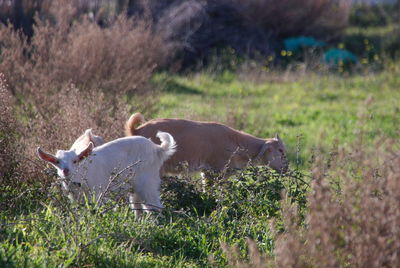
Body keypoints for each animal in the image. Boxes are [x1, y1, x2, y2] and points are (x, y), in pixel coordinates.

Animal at [37, 131, 175, 215]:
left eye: (75, 161)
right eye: (57, 162)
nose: (66, 171)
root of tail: (158, 149)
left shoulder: (97, 193)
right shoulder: (75, 197)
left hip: (147, 182)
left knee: (154, 205)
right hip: (135, 186)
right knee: (138, 205)